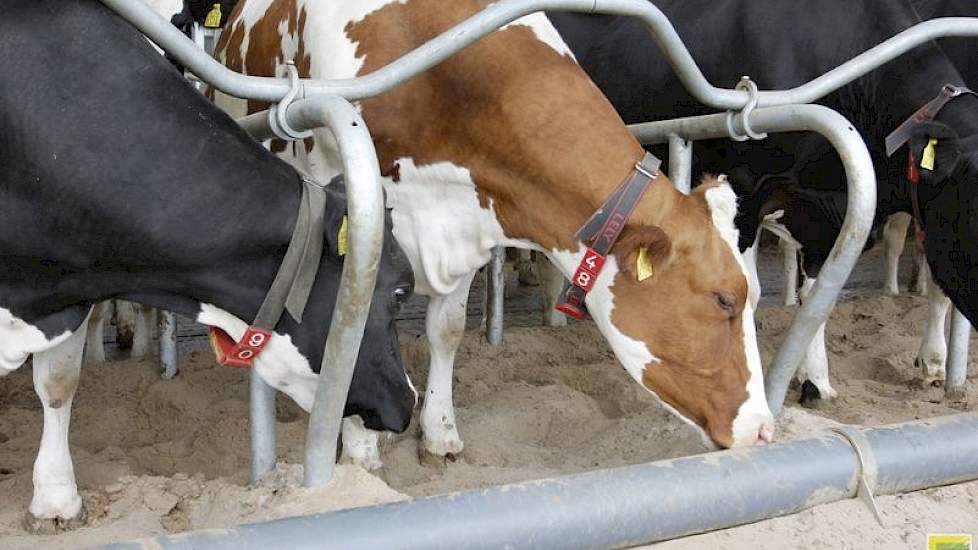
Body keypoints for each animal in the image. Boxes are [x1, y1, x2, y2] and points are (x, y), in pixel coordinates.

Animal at [210, 0, 772, 466]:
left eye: (752, 296)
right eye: (725, 299)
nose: (766, 429)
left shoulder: (468, 223)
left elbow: (448, 329)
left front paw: (439, 432)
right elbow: (347, 320)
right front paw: (360, 446)